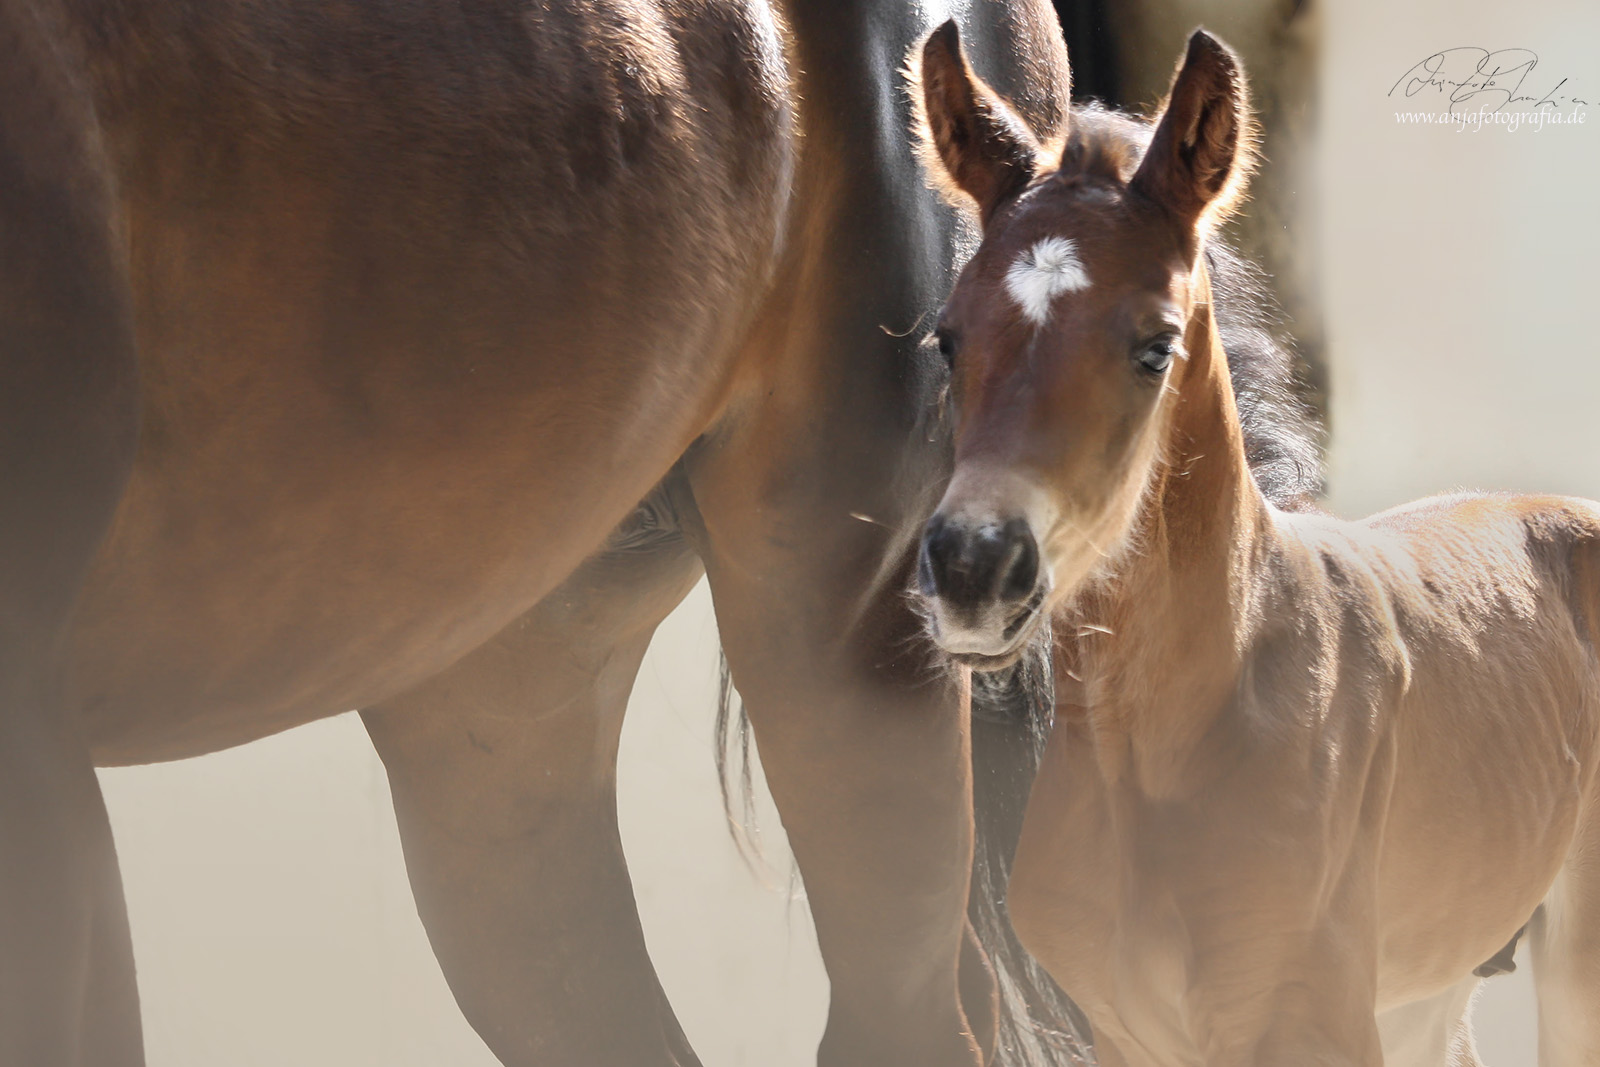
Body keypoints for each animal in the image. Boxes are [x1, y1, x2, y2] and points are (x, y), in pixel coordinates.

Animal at [915, 24, 1600, 1067]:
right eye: (949, 338)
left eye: (1155, 346)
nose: (973, 570)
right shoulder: (1125, 1033)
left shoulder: (1313, 1022)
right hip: (1432, 985)